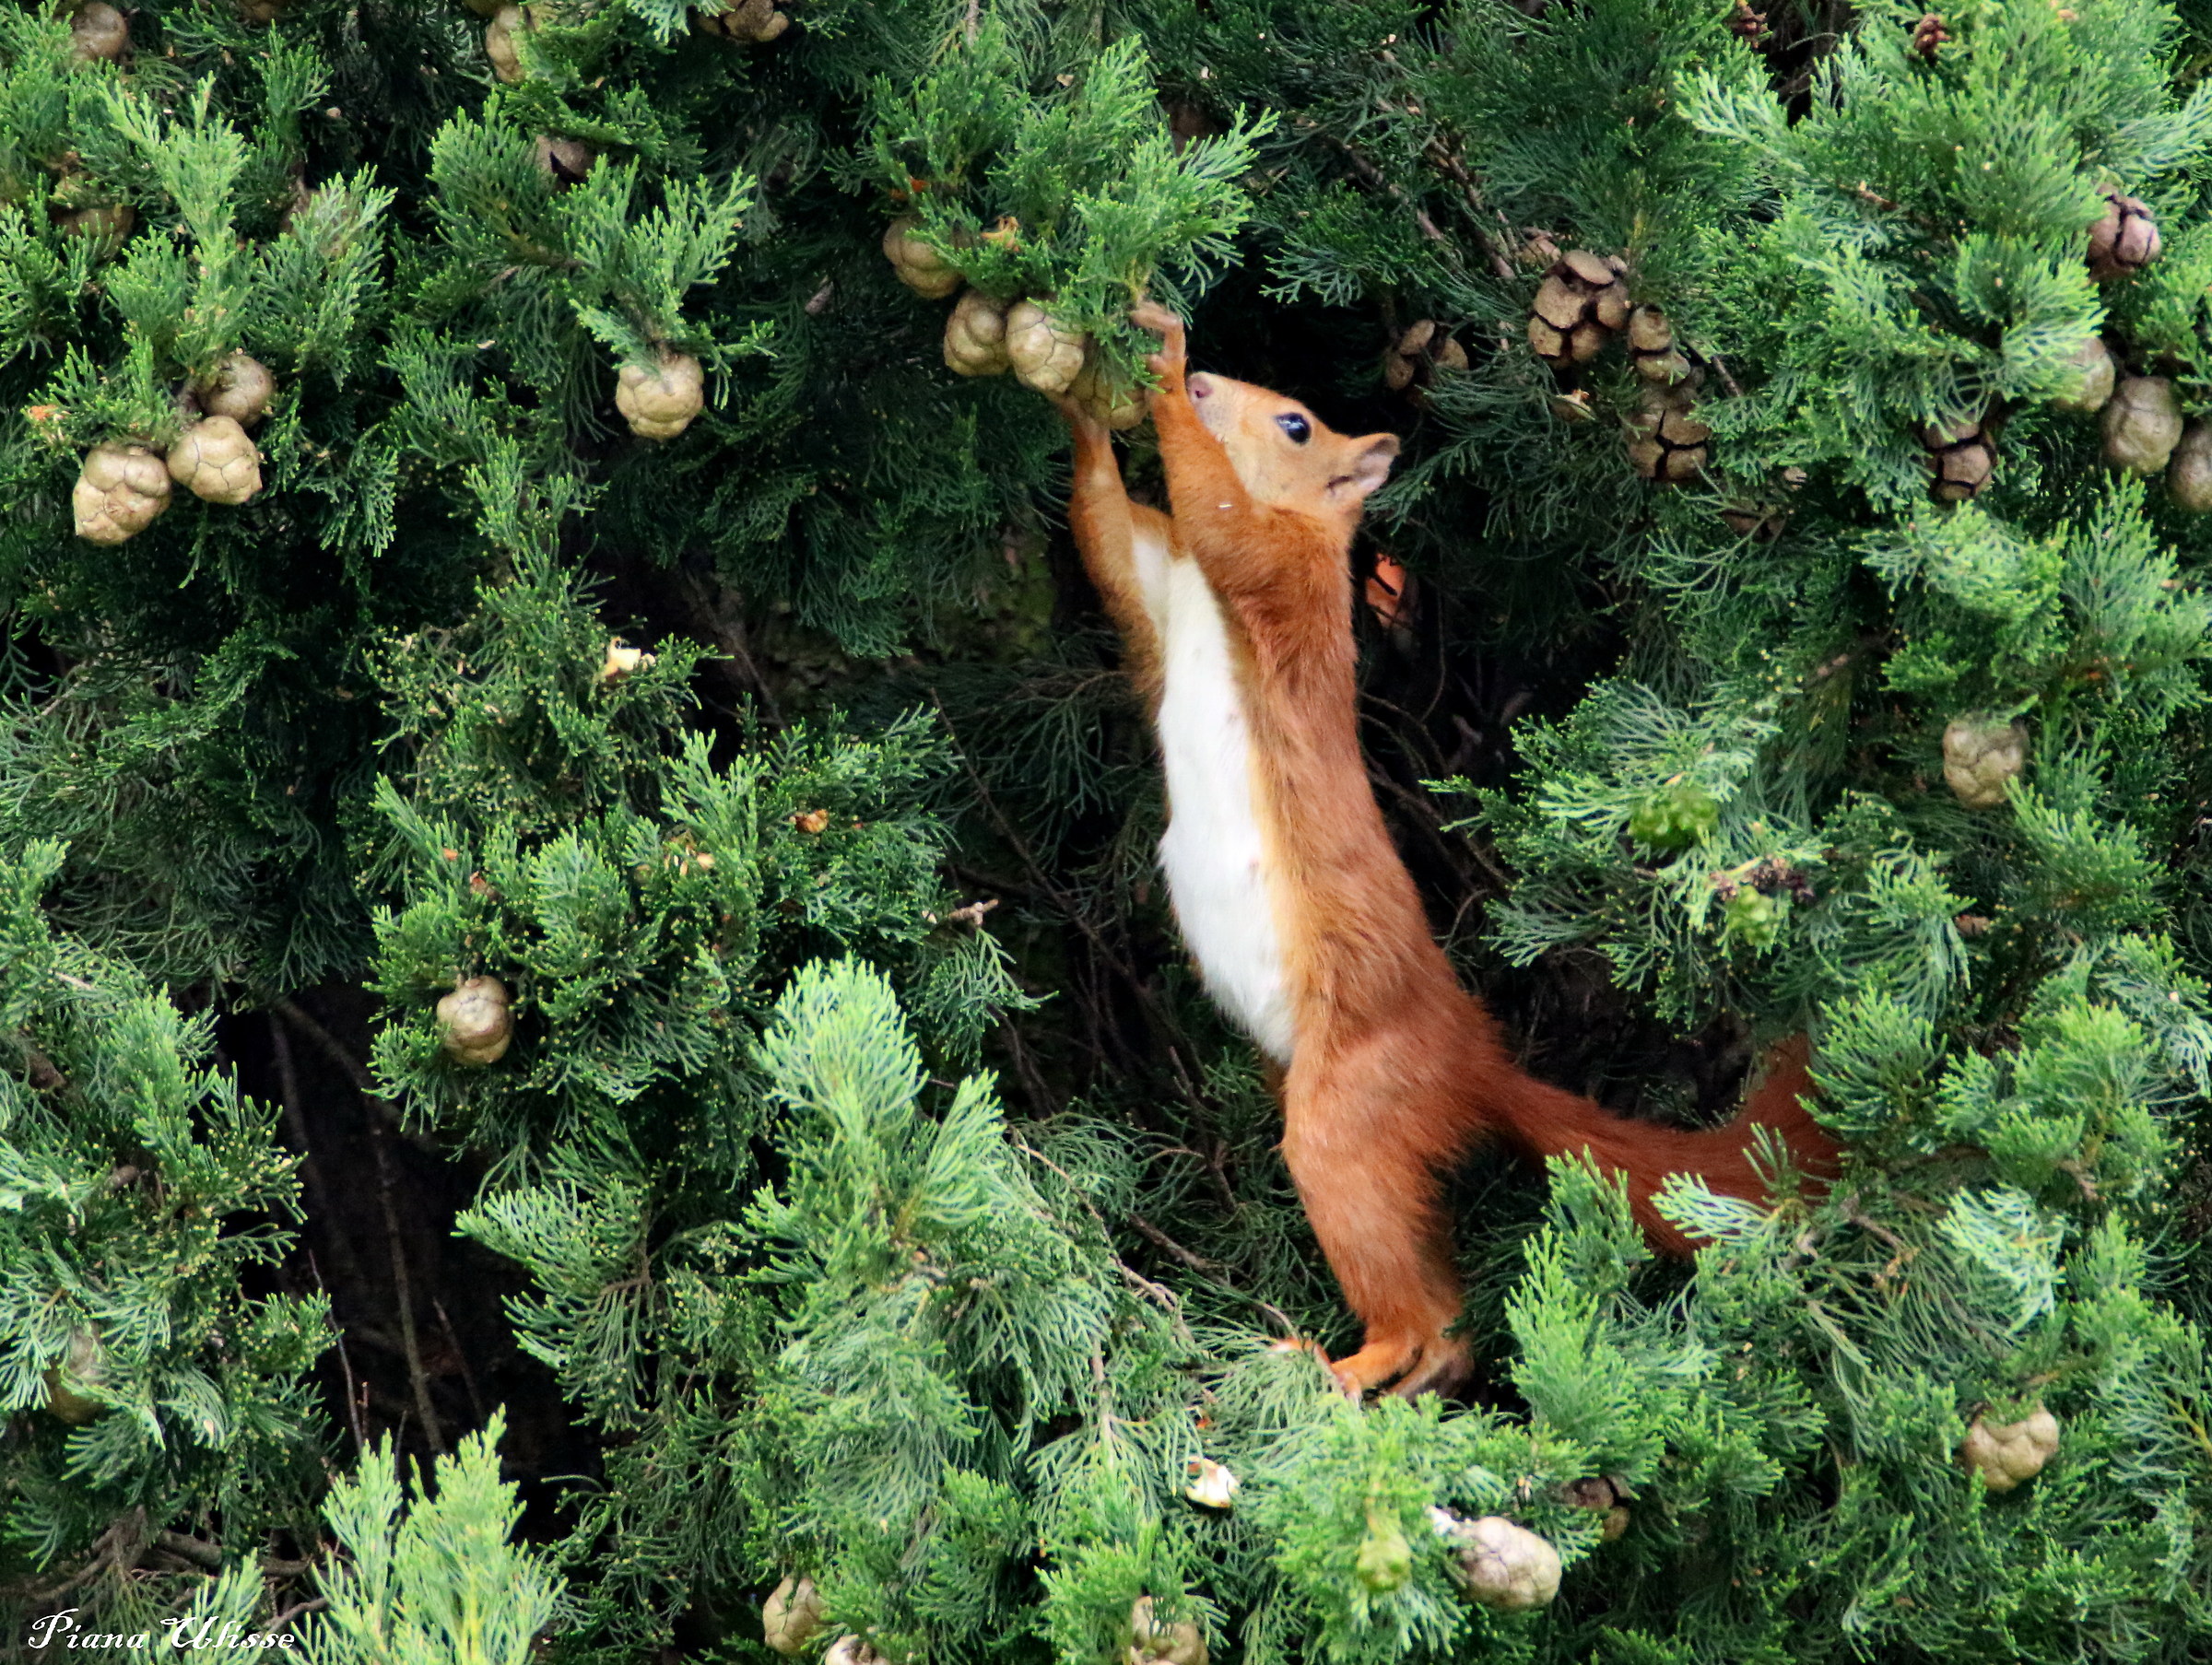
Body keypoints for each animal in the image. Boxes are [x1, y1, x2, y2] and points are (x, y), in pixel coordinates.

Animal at [1050, 303, 1840, 1399]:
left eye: (1296, 424)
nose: (1209, 383)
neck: (1213, 606)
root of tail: (1471, 1060)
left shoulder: (1282, 589)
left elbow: (1224, 513)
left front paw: (1163, 371)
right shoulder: (1161, 594)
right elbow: (1107, 544)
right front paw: (1079, 402)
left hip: (1351, 1107)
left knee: (1409, 1293)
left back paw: (1349, 1360)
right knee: (1446, 1310)